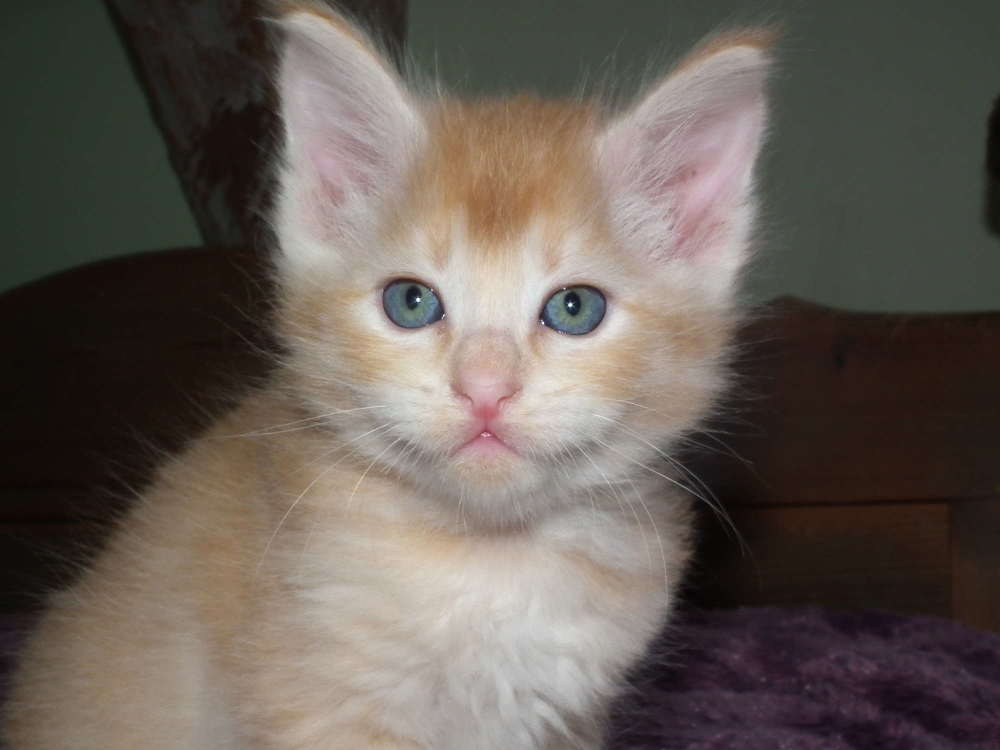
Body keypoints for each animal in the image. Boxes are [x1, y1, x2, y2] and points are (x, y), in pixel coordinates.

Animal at [3, 5, 772, 750]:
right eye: (411, 303)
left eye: (574, 308)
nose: (484, 389)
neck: (487, 562)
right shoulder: (317, 700)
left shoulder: (563, 717)